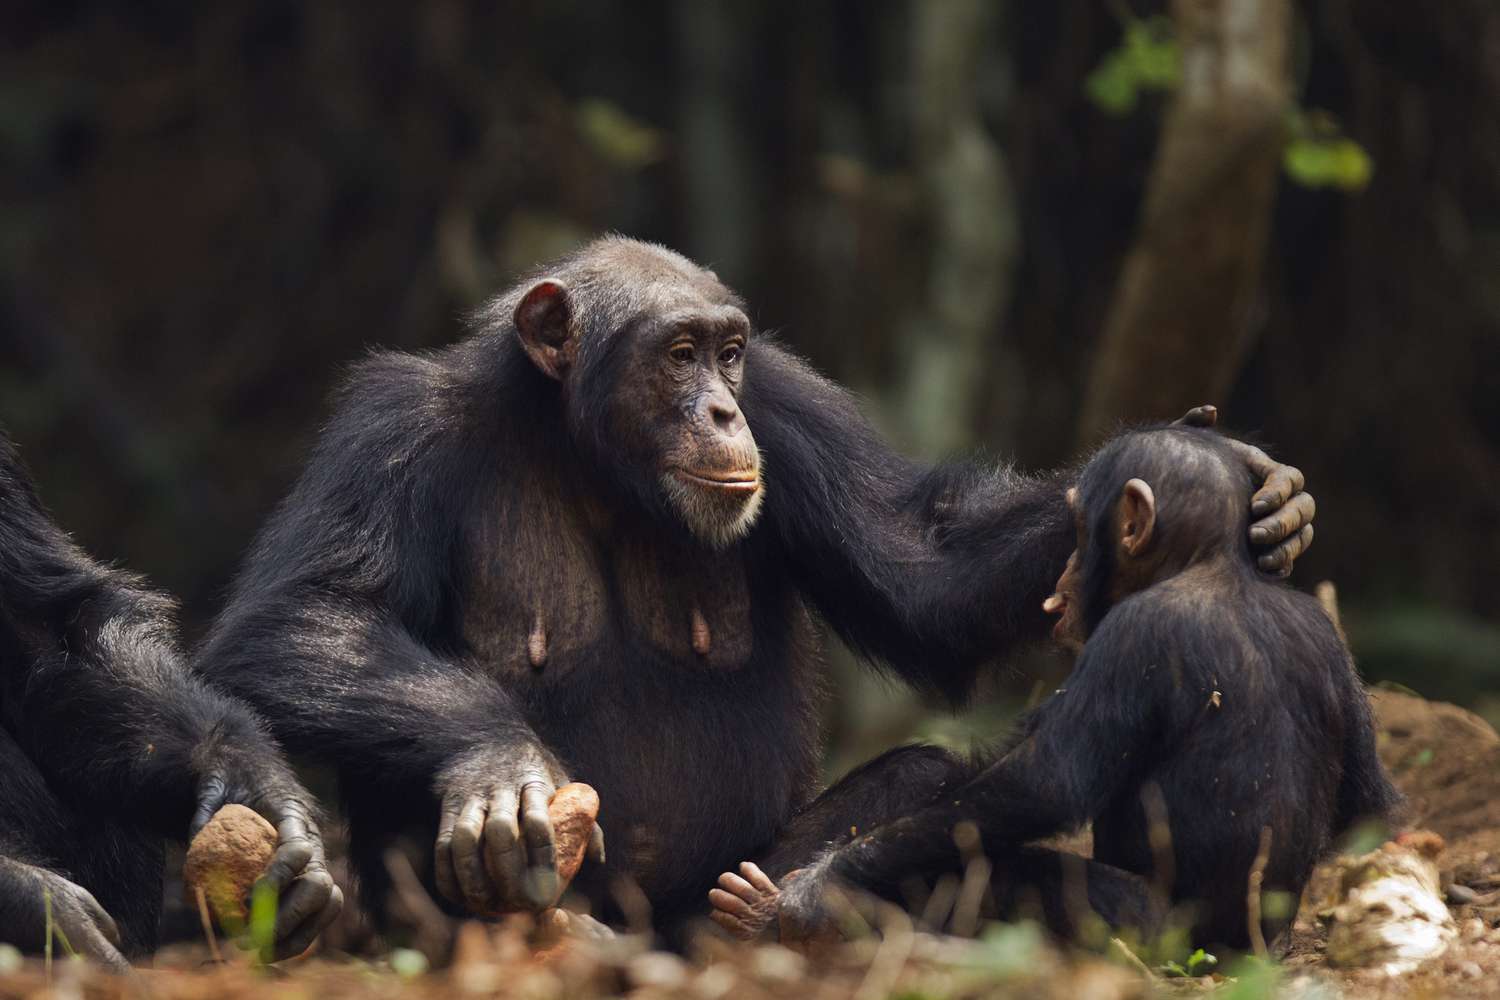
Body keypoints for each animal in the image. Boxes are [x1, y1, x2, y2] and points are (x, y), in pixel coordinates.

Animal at [193, 236, 1320, 941]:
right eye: (677, 351)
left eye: (729, 351)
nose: (721, 412)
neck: (589, 451)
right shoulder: (391, 429)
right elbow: (304, 616)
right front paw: (499, 764)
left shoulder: (788, 405)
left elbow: (927, 568)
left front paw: (1258, 488)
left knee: (917, 776)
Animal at [708, 425, 1398, 953]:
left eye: (1081, 528)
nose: (1064, 571)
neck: (1213, 566)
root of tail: (1251, 950)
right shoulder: (1326, 640)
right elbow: (1369, 803)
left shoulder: (1132, 638)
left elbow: (1041, 782)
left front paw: (812, 890)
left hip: (1151, 930)